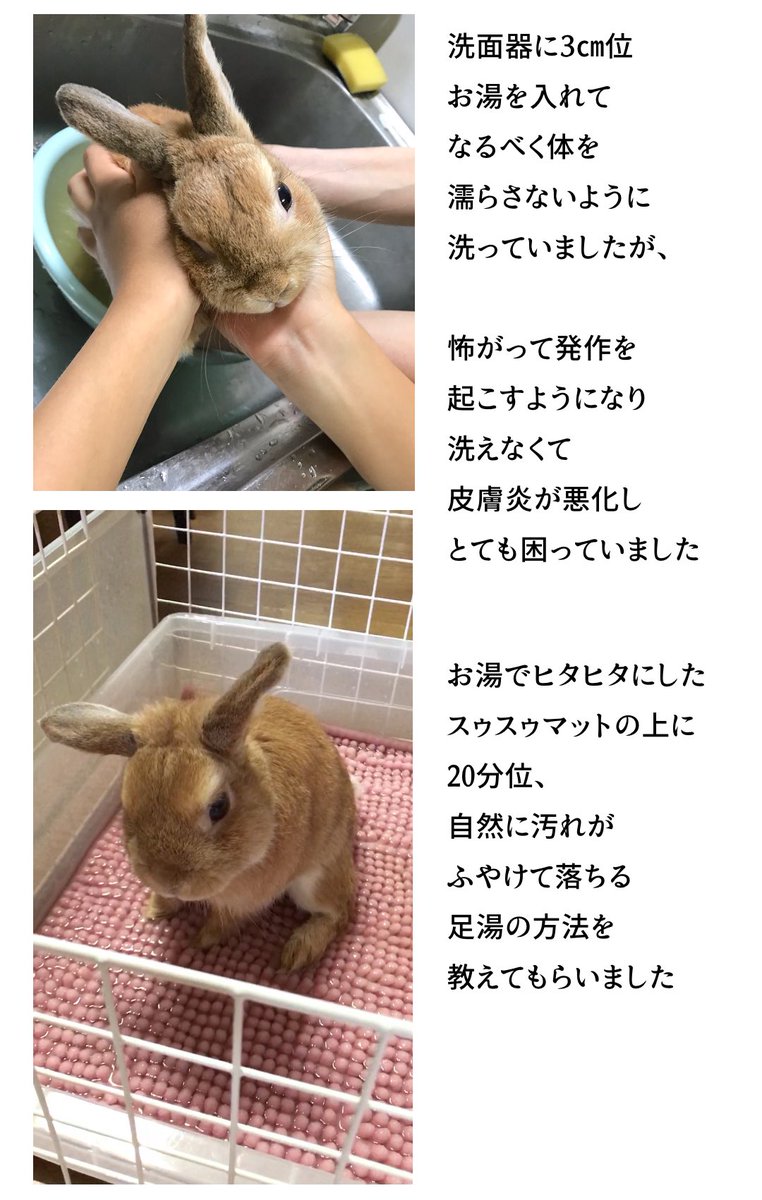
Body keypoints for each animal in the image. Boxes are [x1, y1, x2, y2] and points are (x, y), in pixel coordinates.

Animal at [40, 643, 357, 972]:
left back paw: (297, 953)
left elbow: (224, 919)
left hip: (317, 877)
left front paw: (201, 940)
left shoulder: (245, 901)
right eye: (125, 803)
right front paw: (155, 908)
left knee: (340, 912)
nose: (170, 881)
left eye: (218, 807)